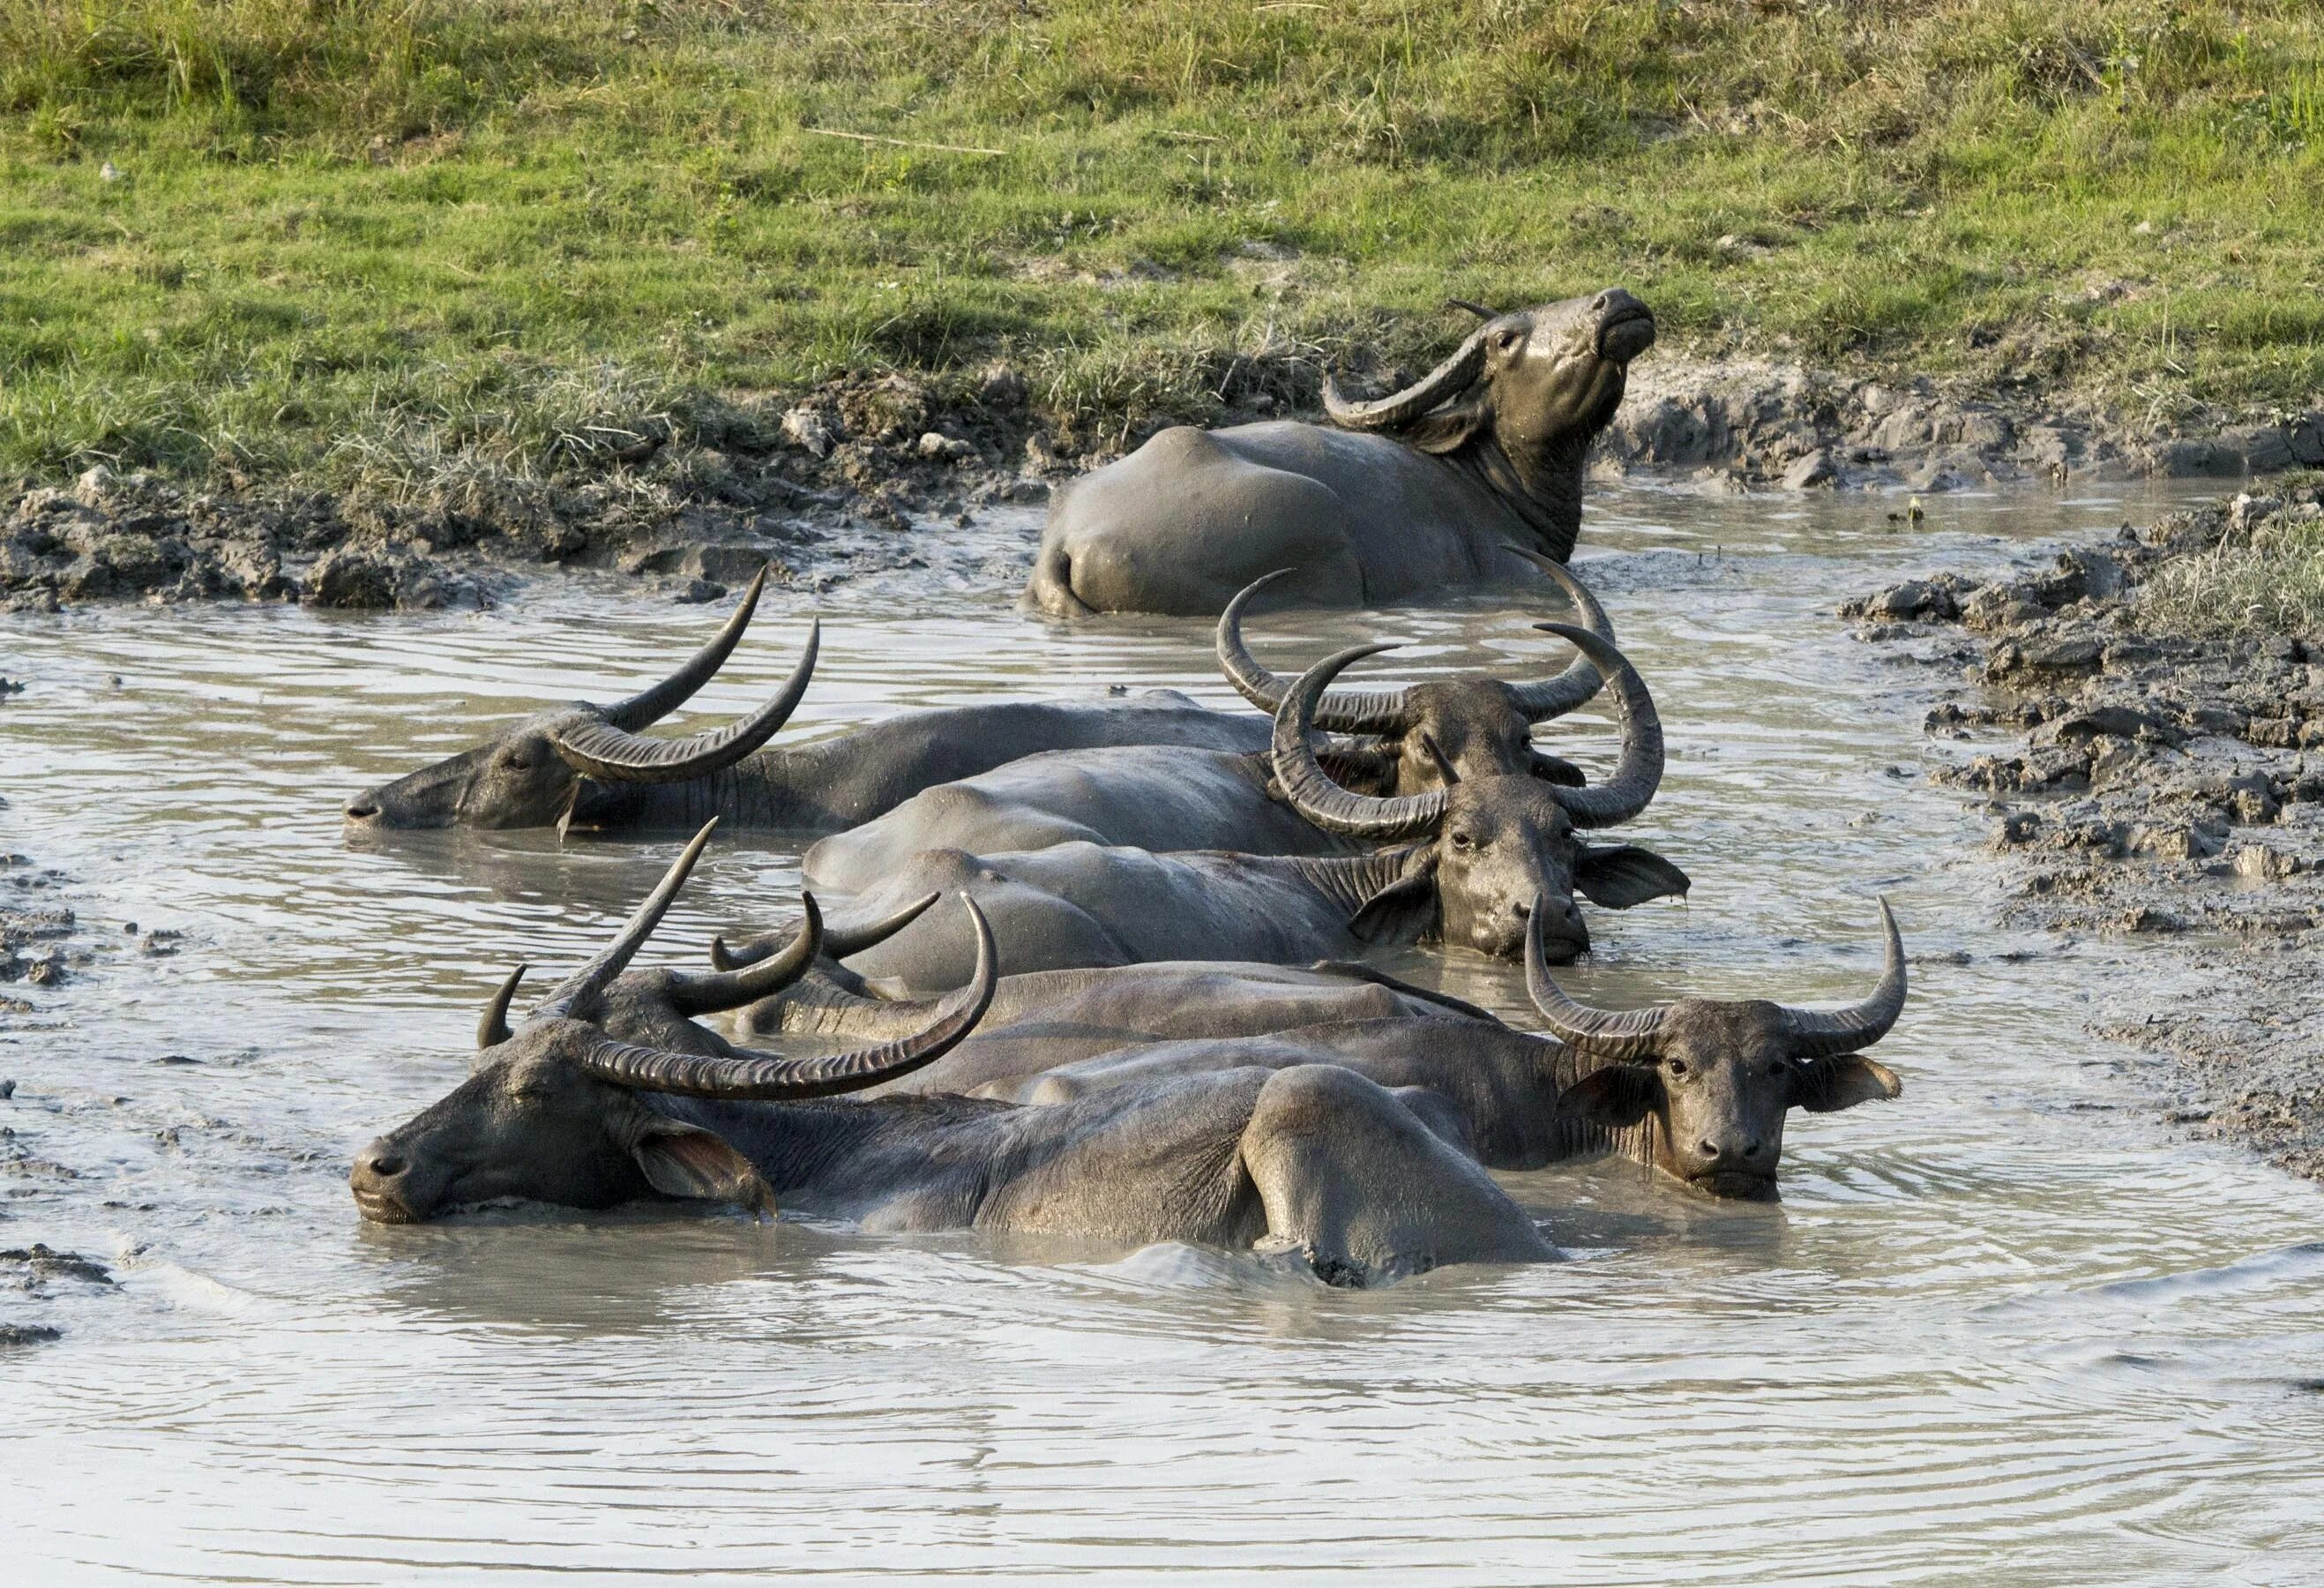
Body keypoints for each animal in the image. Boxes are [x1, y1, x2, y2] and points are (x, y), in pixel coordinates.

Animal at [353, 818, 1561, 1283]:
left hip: (1307, 1102)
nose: (378, 1166)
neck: (822, 1159)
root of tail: (1523, 1236)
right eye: (479, 1065)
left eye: (536, 1089)